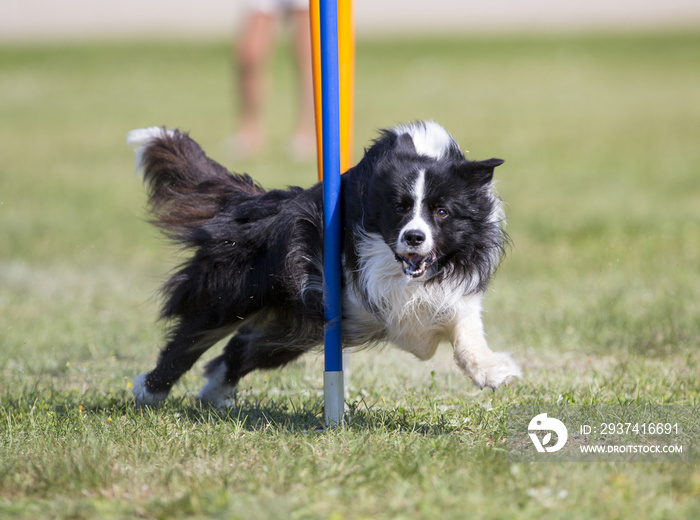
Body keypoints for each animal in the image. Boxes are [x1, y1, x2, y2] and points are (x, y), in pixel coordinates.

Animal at [129, 122, 516, 406]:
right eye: (400, 208)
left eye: (442, 211)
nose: (414, 238)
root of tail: (261, 204)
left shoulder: (455, 292)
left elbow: (464, 330)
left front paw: (494, 372)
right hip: (236, 294)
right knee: (191, 337)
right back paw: (150, 391)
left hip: (293, 329)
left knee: (241, 349)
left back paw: (215, 394)